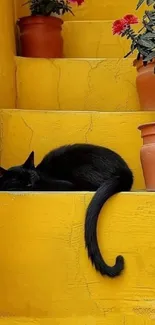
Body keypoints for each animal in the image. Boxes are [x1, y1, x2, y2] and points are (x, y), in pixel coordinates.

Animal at [0, 143, 133, 278]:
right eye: (16, 180)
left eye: (30, 175)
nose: (29, 184)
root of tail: (126, 173)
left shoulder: (61, 184)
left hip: (80, 171)